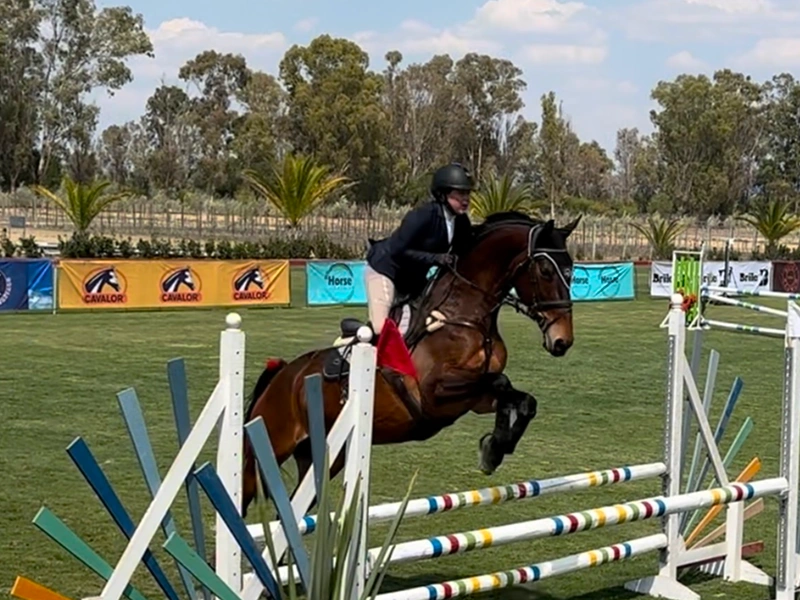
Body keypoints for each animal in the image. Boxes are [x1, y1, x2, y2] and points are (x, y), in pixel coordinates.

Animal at [240, 211, 580, 517]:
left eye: (572, 271)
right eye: (546, 271)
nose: (562, 341)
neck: (464, 316)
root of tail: (285, 373)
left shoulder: (476, 400)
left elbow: (521, 399)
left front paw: (495, 449)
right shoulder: (435, 396)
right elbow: (501, 382)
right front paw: (493, 449)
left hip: (323, 457)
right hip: (270, 444)